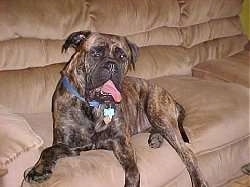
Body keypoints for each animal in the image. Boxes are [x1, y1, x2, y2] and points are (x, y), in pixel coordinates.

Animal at [23, 31, 208, 187]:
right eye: (96, 53)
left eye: (122, 56)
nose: (112, 65)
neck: (93, 106)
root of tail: (171, 98)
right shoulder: (68, 144)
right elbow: (48, 149)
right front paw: (38, 170)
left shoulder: (122, 145)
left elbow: (133, 172)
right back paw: (156, 138)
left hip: (158, 113)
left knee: (188, 154)